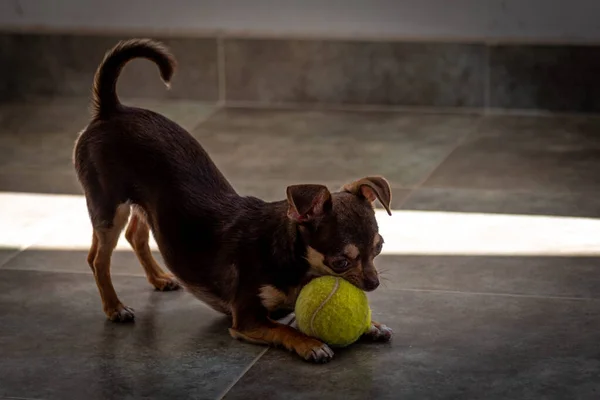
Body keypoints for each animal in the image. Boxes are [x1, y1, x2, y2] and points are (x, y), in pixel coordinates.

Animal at [74, 39, 394, 362]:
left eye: (379, 248)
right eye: (340, 261)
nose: (374, 283)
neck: (296, 262)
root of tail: (111, 109)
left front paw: (371, 325)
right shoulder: (247, 319)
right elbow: (286, 329)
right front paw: (311, 343)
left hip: (144, 204)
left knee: (135, 235)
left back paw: (159, 278)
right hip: (109, 207)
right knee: (98, 258)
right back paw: (114, 307)